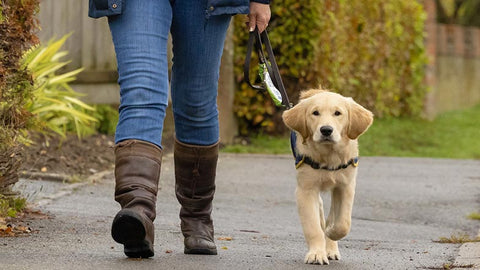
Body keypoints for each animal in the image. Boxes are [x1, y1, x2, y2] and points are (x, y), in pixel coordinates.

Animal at [284, 88, 374, 264]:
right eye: (315, 113)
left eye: (337, 113)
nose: (326, 130)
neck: (329, 156)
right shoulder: (306, 190)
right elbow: (313, 227)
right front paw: (316, 254)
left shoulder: (345, 187)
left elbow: (343, 223)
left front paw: (331, 233)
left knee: (332, 216)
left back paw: (331, 248)